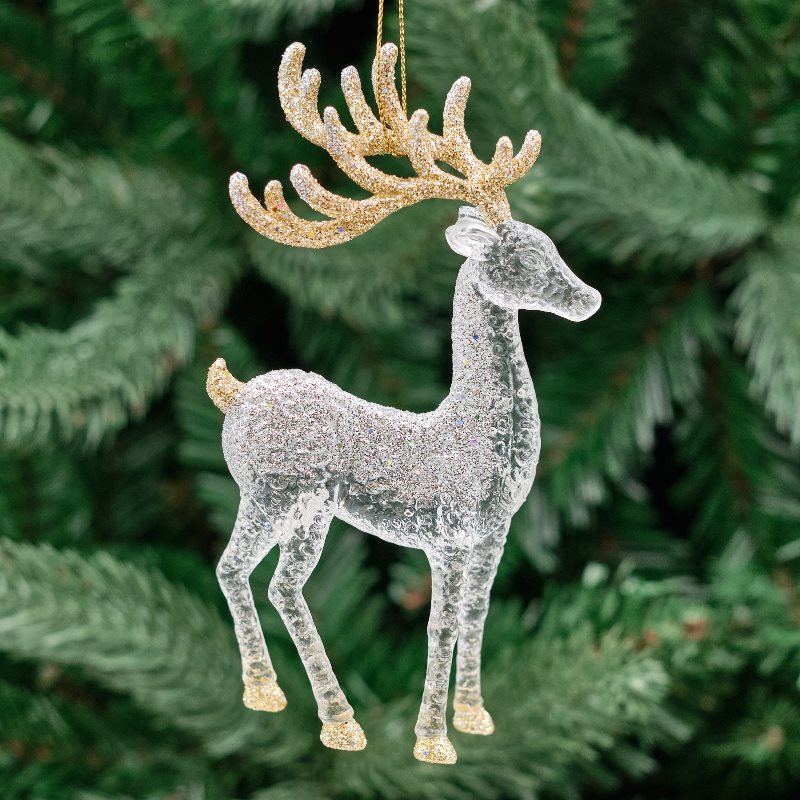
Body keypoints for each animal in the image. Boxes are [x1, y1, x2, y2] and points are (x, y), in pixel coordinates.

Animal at [208, 42, 601, 765]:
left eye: (551, 244)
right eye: (521, 258)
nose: (589, 300)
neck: (471, 436)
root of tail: (235, 391)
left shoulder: (493, 532)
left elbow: (476, 617)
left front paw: (474, 716)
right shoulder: (445, 534)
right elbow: (438, 628)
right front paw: (432, 740)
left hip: (307, 508)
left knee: (267, 580)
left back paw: (306, 707)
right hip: (272, 492)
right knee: (246, 573)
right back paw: (305, 709)